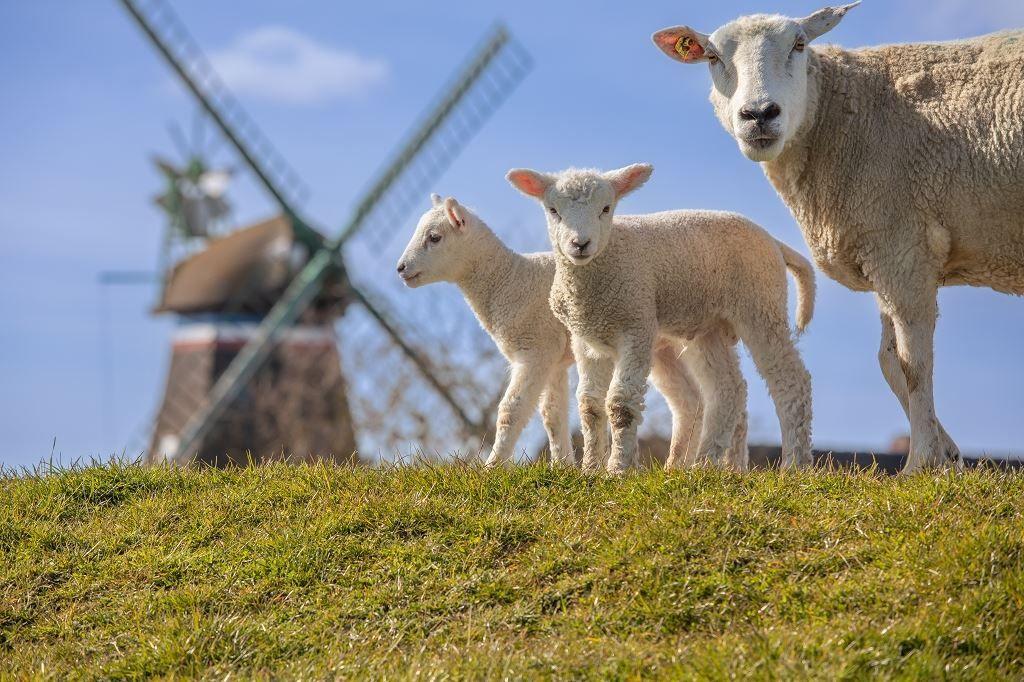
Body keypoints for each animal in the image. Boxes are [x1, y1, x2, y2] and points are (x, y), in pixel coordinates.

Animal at [397, 194, 713, 468]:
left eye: (434, 237)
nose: (400, 268)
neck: (508, 279)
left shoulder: (535, 349)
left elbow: (512, 410)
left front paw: (492, 467)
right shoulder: (553, 359)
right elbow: (552, 415)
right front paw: (562, 467)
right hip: (662, 346)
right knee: (689, 401)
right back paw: (676, 466)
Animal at [507, 164, 815, 474]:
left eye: (606, 208)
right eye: (553, 210)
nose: (580, 244)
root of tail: (773, 241)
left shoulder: (636, 325)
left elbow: (620, 404)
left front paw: (617, 470)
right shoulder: (587, 340)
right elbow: (590, 406)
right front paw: (591, 470)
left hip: (761, 302)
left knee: (790, 380)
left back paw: (794, 464)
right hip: (710, 326)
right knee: (728, 389)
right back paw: (701, 464)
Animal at [652, 3, 1024, 472]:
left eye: (799, 44)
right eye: (713, 57)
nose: (759, 114)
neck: (842, 115)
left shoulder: (903, 246)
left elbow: (914, 363)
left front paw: (920, 463)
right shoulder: (883, 247)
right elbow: (889, 362)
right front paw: (948, 456)